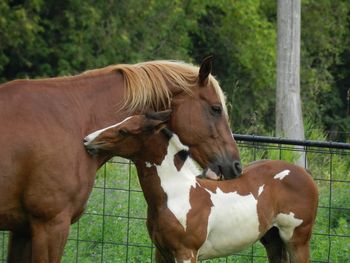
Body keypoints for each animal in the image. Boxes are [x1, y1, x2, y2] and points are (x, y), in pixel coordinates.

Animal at [85, 111, 320, 263]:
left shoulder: (186, 253)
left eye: (124, 131)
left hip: (297, 239)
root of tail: (306, 175)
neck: (175, 193)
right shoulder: (162, 253)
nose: (87, 140)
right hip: (272, 239)